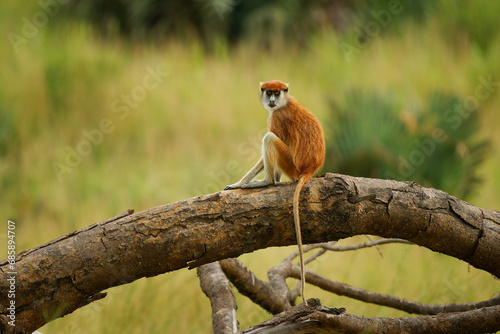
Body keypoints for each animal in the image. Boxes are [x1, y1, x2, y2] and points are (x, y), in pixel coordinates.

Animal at [226, 79, 326, 304]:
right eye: (269, 92)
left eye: (277, 93)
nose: (271, 100)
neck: (284, 103)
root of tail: (308, 170)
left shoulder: (277, 117)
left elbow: (272, 136)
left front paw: (240, 183)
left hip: (290, 164)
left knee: (269, 138)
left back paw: (269, 182)